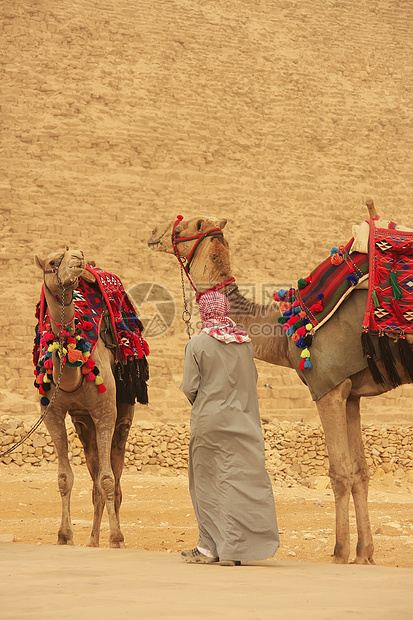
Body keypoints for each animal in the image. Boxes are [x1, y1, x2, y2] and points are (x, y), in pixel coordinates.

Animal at [34, 248, 148, 548]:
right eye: (53, 261)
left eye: (69, 253)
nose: (78, 258)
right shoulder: (51, 413)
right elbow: (64, 477)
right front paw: (64, 536)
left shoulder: (105, 411)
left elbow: (107, 479)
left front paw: (117, 537)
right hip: (83, 424)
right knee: (94, 474)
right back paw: (93, 540)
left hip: (124, 408)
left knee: (114, 475)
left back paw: (107, 537)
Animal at [146, 216, 410, 564]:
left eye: (180, 227)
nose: (152, 233)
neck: (283, 332)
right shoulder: (351, 393)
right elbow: (360, 472)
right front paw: (363, 554)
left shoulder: (328, 388)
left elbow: (340, 473)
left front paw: (340, 553)